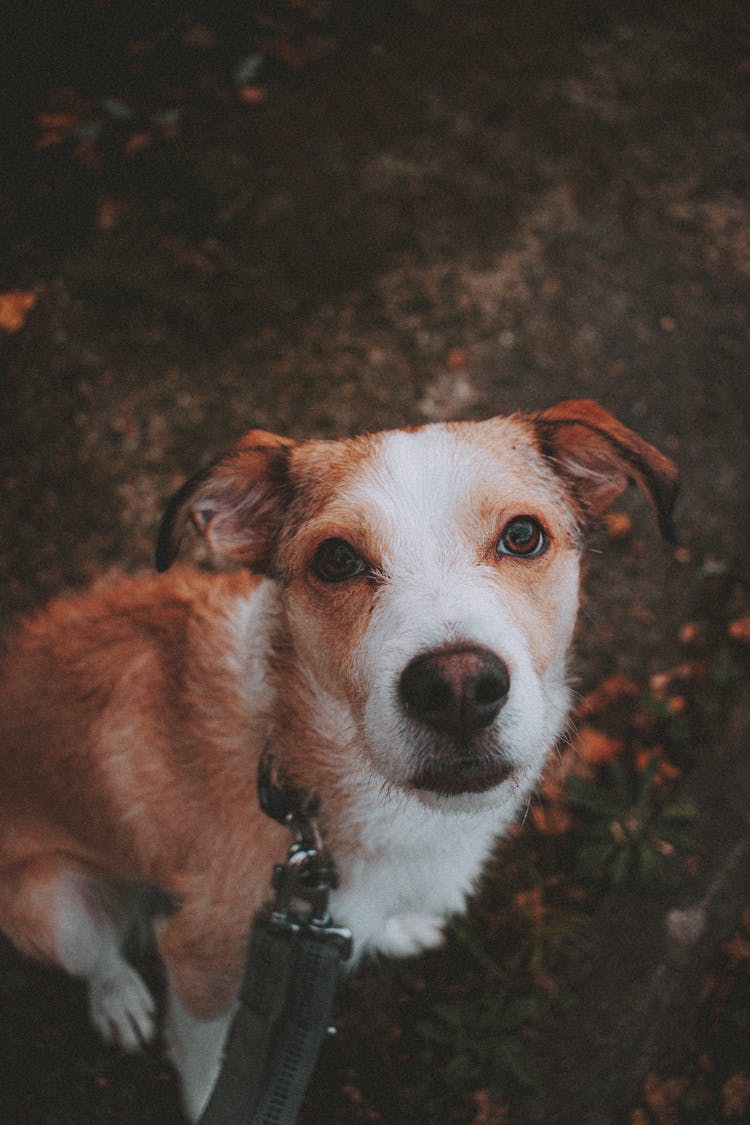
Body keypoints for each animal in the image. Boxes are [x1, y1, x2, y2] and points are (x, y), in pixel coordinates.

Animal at [0, 402, 679, 1116]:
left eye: (523, 535)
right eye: (336, 559)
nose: (458, 688)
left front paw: (399, 926)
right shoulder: (202, 959)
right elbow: (207, 1058)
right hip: (54, 902)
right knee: (99, 955)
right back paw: (120, 999)